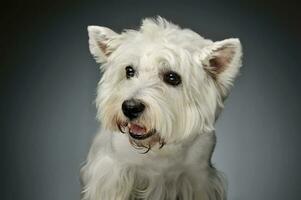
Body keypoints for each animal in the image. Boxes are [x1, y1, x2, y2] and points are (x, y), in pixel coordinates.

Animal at [80, 17, 241, 200]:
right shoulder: (112, 174)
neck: (158, 148)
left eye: (172, 77)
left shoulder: (199, 178)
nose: (130, 108)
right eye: (129, 70)